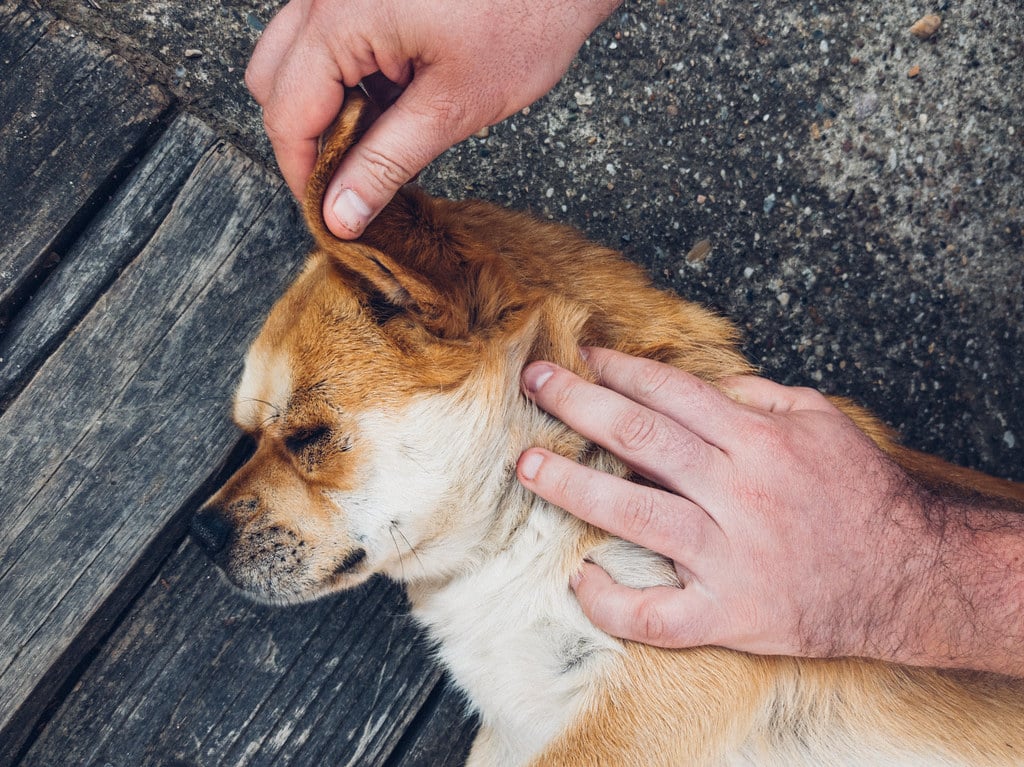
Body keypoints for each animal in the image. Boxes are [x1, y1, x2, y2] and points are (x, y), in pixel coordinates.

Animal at [193, 92, 1024, 761]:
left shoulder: (636, 708)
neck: (512, 546)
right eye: (248, 433)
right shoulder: (519, 730)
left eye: (306, 436)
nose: (199, 533)